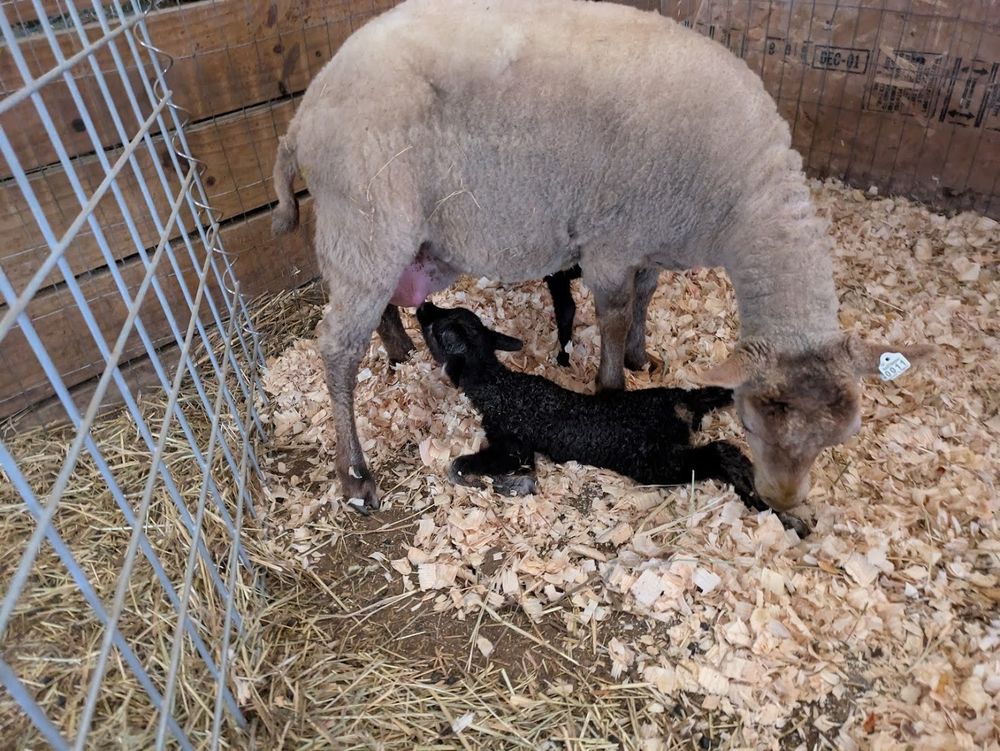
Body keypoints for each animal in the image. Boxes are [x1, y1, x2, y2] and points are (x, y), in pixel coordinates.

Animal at [416, 302, 810, 536]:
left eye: (434, 329)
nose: (423, 305)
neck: (499, 384)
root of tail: (676, 409)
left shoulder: (512, 442)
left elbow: (467, 463)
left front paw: (471, 475)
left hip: (661, 462)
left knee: (721, 452)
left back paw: (779, 513)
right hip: (675, 407)